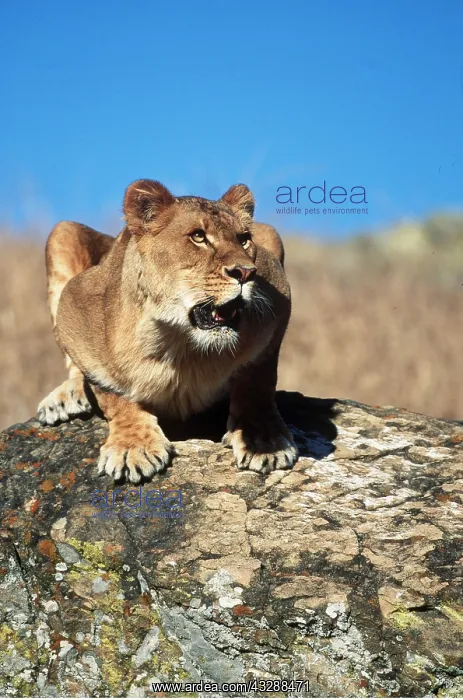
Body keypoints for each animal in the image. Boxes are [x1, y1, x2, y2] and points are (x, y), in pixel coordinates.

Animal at [37, 179, 298, 482]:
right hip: (63, 231)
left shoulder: (277, 300)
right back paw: (64, 397)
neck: (180, 344)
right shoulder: (75, 303)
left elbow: (257, 381)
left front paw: (264, 441)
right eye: (198, 237)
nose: (246, 272)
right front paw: (133, 447)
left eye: (243, 239)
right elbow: (111, 392)